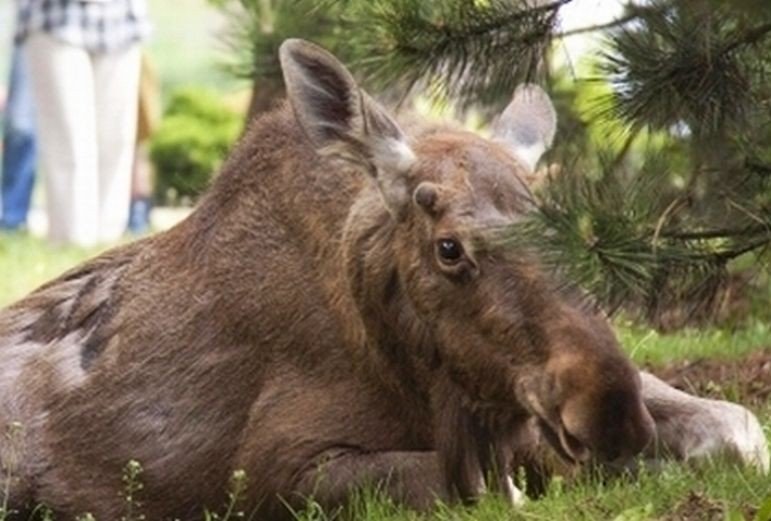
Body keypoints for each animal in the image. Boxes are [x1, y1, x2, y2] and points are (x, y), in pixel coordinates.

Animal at [0, 38, 768, 516]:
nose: (608, 410)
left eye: (569, 229)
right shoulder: (271, 473)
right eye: (449, 248)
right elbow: (489, 485)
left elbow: (737, 427)